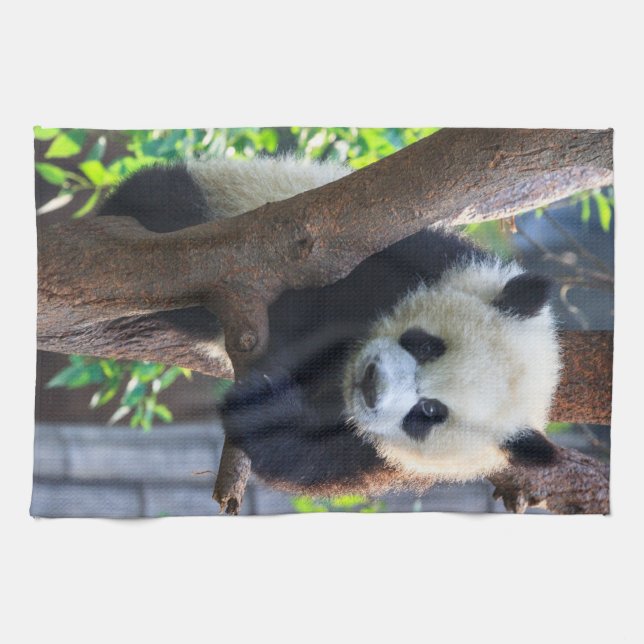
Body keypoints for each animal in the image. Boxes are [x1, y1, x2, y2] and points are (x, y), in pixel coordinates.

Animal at [99, 155, 562, 494]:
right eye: (426, 345)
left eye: (429, 412)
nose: (373, 385)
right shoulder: (418, 258)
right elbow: (323, 289)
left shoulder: (378, 456)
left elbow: (306, 456)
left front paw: (261, 404)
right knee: (172, 206)